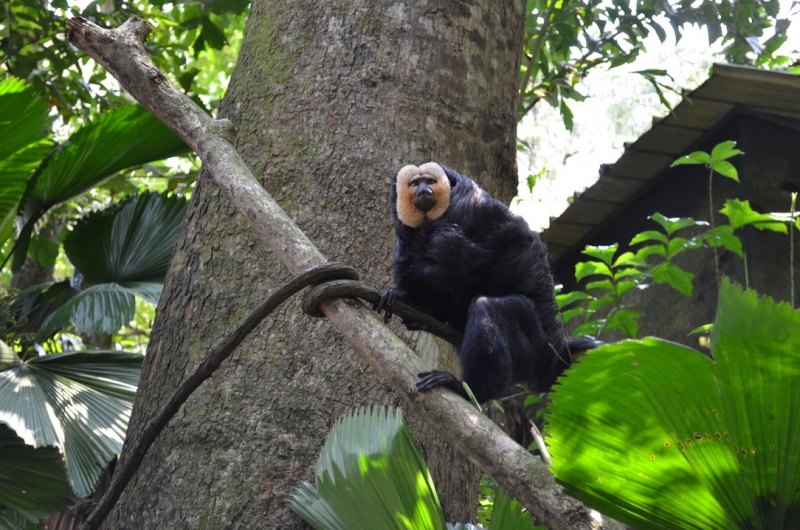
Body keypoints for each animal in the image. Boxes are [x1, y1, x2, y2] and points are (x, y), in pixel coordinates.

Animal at [376, 161, 592, 400]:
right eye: (415, 183)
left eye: (430, 181)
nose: (424, 190)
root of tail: (551, 346)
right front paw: (411, 301)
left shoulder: (464, 209)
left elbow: (453, 263)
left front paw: (402, 293)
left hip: (533, 343)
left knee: (489, 307)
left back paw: (468, 389)